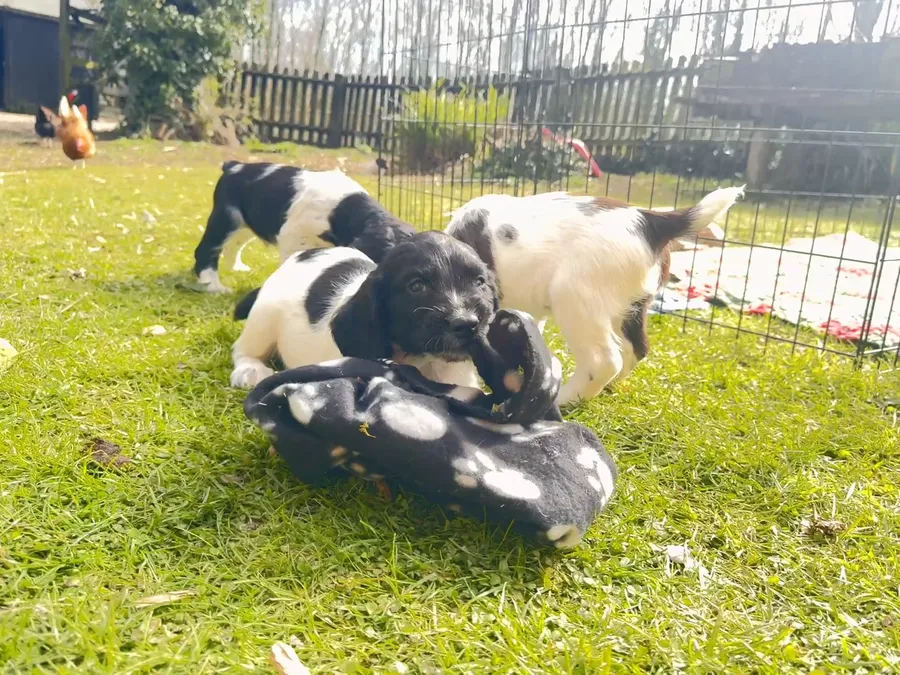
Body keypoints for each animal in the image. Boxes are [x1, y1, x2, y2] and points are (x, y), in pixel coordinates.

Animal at [193, 161, 415, 293]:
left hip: (244, 224)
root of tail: (234, 165)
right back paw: (213, 285)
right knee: (208, 248)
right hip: (226, 217)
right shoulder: (294, 239)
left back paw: (237, 267)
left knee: (235, 244)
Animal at [229, 231, 499, 390]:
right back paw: (250, 370)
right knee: (243, 349)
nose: (467, 323)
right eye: (416, 286)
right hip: (265, 316)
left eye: (480, 282)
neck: (426, 361)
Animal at [446, 186, 744, 406]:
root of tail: (651, 222)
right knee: (636, 349)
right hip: (632, 306)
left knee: (604, 361)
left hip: (574, 297)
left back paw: (564, 399)